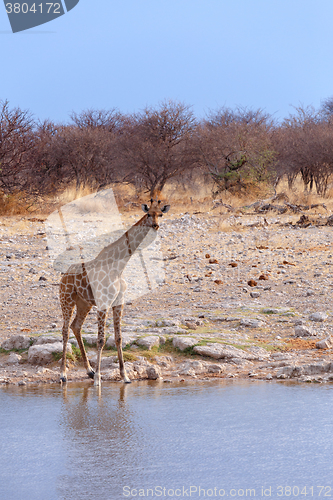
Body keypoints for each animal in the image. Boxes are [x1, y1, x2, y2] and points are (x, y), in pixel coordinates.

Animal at [58, 199, 170, 386]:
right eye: (148, 214)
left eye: (160, 214)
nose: (155, 225)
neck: (118, 267)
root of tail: (65, 273)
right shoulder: (104, 303)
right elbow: (101, 339)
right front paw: (98, 380)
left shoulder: (119, 302)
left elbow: (118, 338)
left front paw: (124, 377)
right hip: (66, 299)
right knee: (65, 330)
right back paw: (63, 374)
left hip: (84, 303)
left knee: (76, 326)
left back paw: (89, 371)